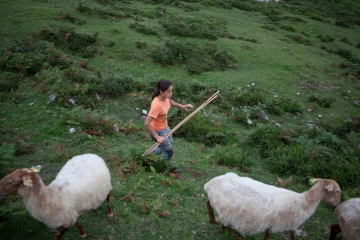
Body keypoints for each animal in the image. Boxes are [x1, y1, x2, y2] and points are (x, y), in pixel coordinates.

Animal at [204, 172, 342, 240]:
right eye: (337, 191)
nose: (337, 205)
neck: (304, 202)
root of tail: (210, 183)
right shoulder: (277, 226)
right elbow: (268, 237)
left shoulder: (291, 224)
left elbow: (293, 236)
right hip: (227, 212)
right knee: (225, 228)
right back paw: (237, 236)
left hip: (218, 204)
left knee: (209, 204)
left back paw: (213, 220)